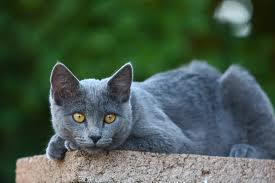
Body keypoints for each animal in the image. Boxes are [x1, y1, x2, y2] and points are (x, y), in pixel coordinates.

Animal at [47, 61, 275, 160]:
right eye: (79, 116)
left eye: (110, 118)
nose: (95, 136)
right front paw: (57, 145)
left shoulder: (172, 139)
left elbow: (126, 143)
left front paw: (71, 145)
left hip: (238, 80)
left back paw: (243, 151)